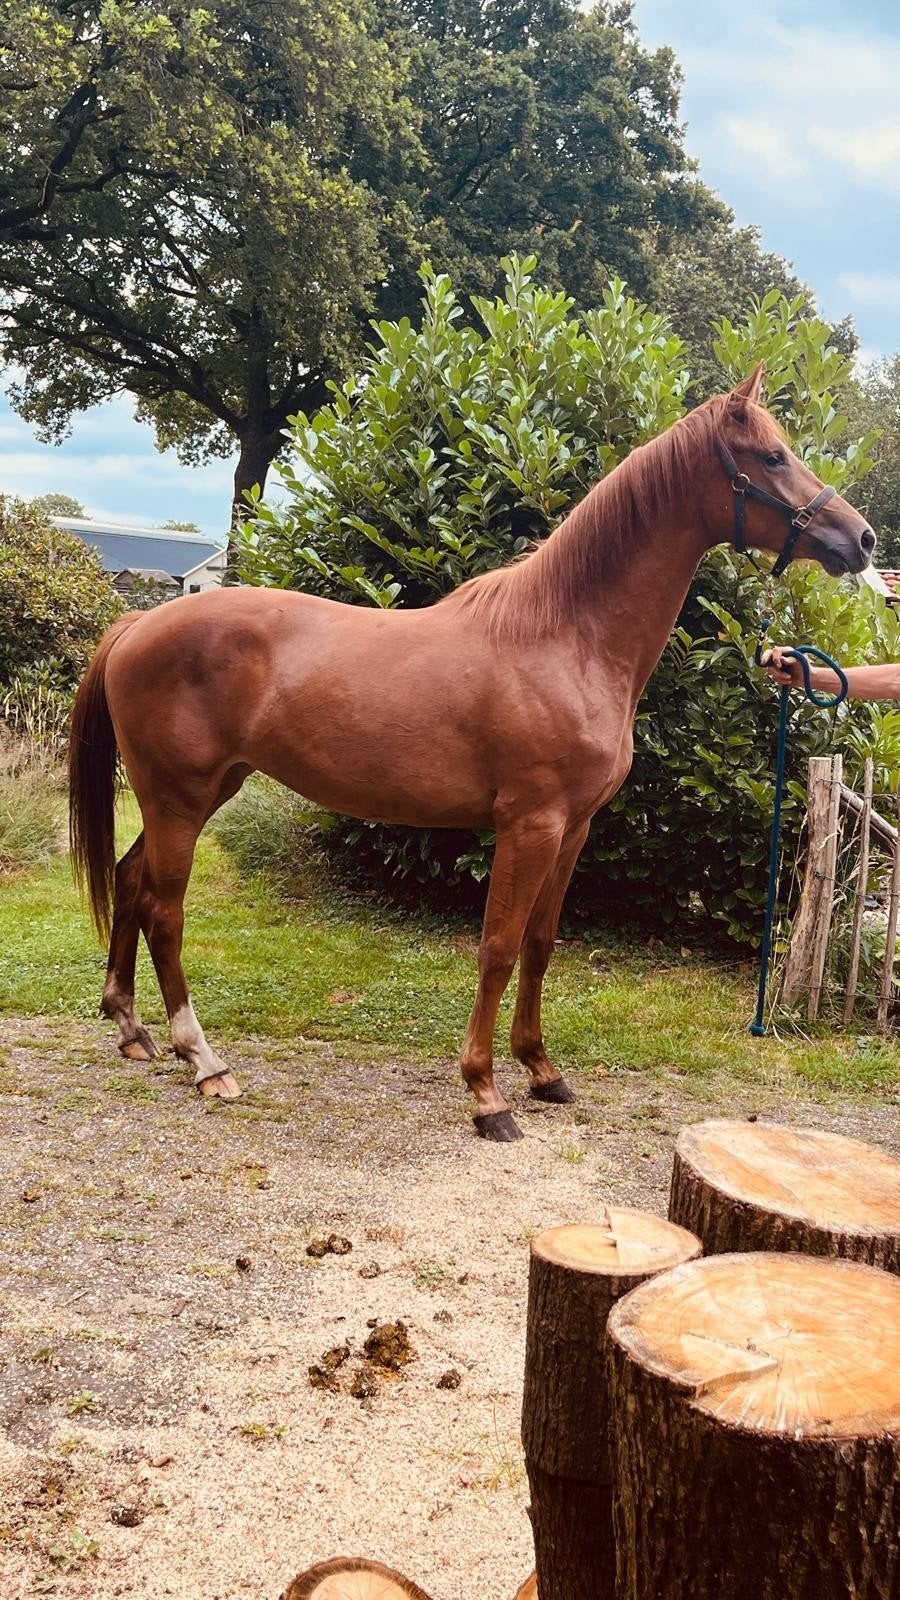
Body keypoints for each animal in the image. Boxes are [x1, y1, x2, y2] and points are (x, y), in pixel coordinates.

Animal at [68, 366, 875, 1140]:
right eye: (771, 456)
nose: (861, 540)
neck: (567, 639)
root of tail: (139, 623)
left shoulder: (574, 828)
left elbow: (541, 944)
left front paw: (543, 1071)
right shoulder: (530, 824)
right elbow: (498, 947)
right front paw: (487, 1095)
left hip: (200, 794)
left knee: (131, 883)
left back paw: (133, 1030)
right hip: (179, 798)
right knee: (165, 910)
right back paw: (204, 1060)